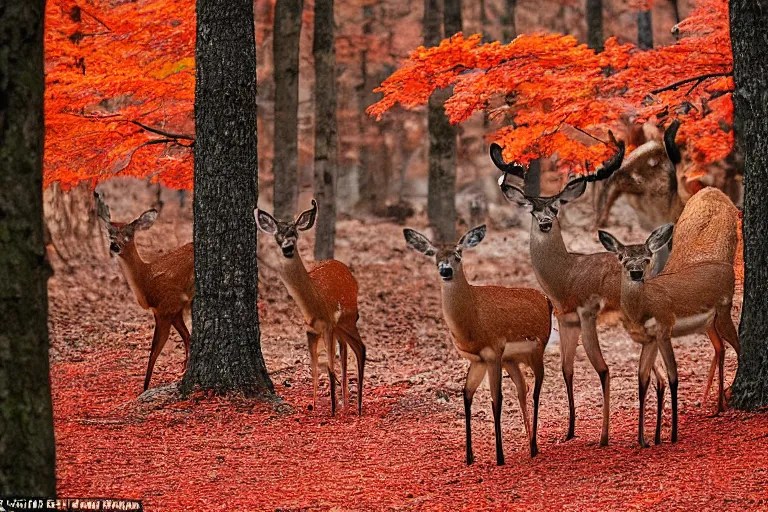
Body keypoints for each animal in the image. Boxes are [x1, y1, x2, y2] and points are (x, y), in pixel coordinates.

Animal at [94, 190, 194, 390]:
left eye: (128, 234)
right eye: (110, 233)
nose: (114, 246)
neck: (145, 281)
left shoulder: (169, 306)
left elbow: (154, 351)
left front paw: (145, 387)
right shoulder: (169, 311)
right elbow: (186, 338)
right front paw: (183, 371)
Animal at [255, 198, 366, 414]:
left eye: (295, 234)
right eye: (278, 236)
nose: (288, 247)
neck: (314, 304)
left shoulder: (329, 326)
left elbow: (329, 368)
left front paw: (332, 412)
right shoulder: (310, 330)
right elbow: (314, 368)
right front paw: (315, 406)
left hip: (348, 320)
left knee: (360, 348)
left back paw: (356, 407)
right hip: (341, 328)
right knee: (346, 350)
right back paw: (346, 403)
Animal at [402, 224, 552, 464]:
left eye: (458, 254)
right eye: (434, 255)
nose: (445, 271)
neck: (473, 324)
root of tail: (547, 300)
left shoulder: (493, 353)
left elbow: (496, 399)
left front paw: (499, 457)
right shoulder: (478, 360)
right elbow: (467, 395)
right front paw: (469, 456)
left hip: (537, 349)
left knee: (537, 389)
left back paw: (536, 445)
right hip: (512, 359)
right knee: (523, 387)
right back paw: (529, 445)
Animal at [496, 138, 676, 446]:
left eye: (556, 208)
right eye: (533, 210)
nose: (545, 222)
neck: (565, 275)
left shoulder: (587, 313)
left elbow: (602, 370)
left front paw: (603, 437)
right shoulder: (566, 319)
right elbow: (567, 370)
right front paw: (569, 430)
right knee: (660, 376)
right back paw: (654, 436)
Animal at [600, 187, 744, 444]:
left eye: (647, 258)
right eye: (622, 258)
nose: (636, 273)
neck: (642, 309)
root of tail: (726, 268)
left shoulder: (664, 329)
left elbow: (673, 376)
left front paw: (672, 434)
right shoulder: (650, 339)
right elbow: (643, 379)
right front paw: (644, 439)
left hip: (724, 312)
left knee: (737, 347)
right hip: (710, 323)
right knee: (721, 347)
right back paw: (718, 406)